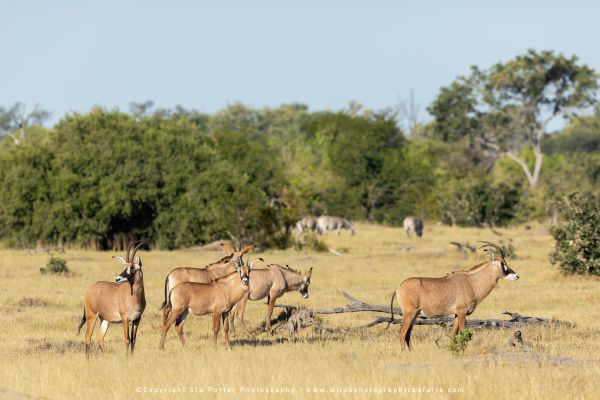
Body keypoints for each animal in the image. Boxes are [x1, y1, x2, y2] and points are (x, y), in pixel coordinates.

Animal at [386, 241, 516, 350]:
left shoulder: (457, 314)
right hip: (409, 313)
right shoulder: (462, 311)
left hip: (415, 314)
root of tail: (398, 288)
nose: (516, 276)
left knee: (408, 334)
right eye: (503, 263)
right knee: (402, 332)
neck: (471, 282)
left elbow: (454, 334)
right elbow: (464, 333)